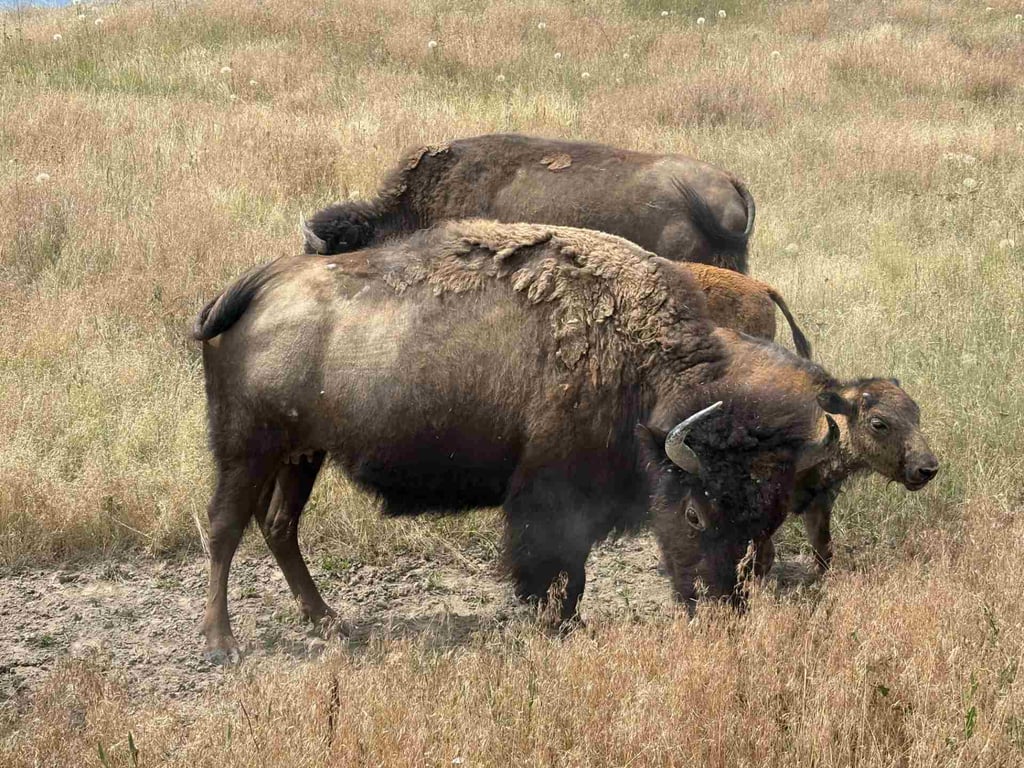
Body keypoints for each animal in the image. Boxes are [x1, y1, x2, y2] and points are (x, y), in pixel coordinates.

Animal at [194, 220, 834, 660]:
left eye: (769, 518)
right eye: (696, 514)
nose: (721, 606)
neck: (636, 362)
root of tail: (258, 285)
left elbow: (571, 571)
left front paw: (564, 621)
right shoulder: (550, 496)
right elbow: (557, 567)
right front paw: (556, 622)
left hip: (301, 454)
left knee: (279, 526)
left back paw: (328, 620)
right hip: (246, 448)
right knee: (225, 529)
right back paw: (222, 643)